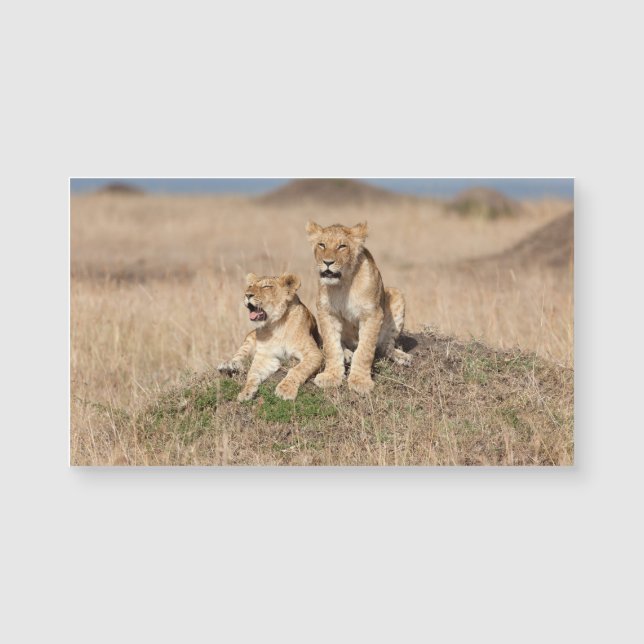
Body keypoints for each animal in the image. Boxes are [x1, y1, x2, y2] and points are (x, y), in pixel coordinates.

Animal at [217, 272, 323, 402]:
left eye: (266, 286)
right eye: (250, 286)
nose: (247, 295)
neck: (276, 324)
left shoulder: (314, 353)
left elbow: (297, 369)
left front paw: (285, 390)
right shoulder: (266, 357)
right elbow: (252, 374)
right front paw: (246, 392)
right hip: (249, 338)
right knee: (239, 356)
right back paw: (228, 366)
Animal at [305, 221, 411, 395]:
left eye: (342, 246)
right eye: (322, 245)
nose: (327, 262)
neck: (342, 284)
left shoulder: (372, 314)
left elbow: (365, 351)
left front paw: (360, 381)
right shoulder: (327, 312)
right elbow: (331, 346)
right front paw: (331, 376)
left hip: (396, 294)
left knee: (386, 346)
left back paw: (402, 357)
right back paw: (347, 353)